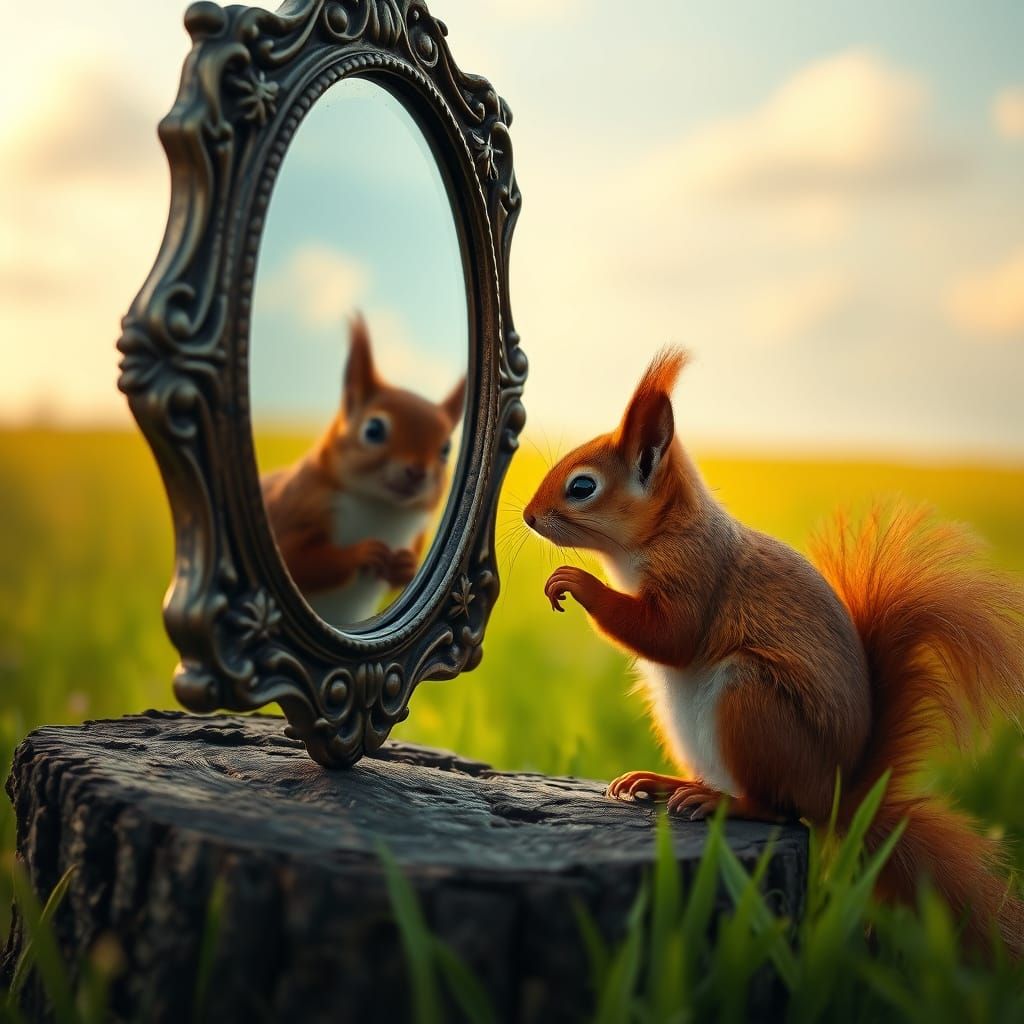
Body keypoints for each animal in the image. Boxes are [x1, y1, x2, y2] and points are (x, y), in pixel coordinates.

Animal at [261, 314, 464, 624]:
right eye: (373, 430)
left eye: (446, 449)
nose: (416, 471)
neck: (381, 508)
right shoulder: (295, 509)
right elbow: (297, 559)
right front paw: (359, 555)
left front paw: (406, 565)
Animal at [524, 348, 1024, 951]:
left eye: (582, 487)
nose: (527, 516)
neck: (659, 533)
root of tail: (837, 794)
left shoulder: (697, 572)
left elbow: (671, 635)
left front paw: (577, 582)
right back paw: (667, 783)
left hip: (753, 703)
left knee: (779, 811)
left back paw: (723, 802)